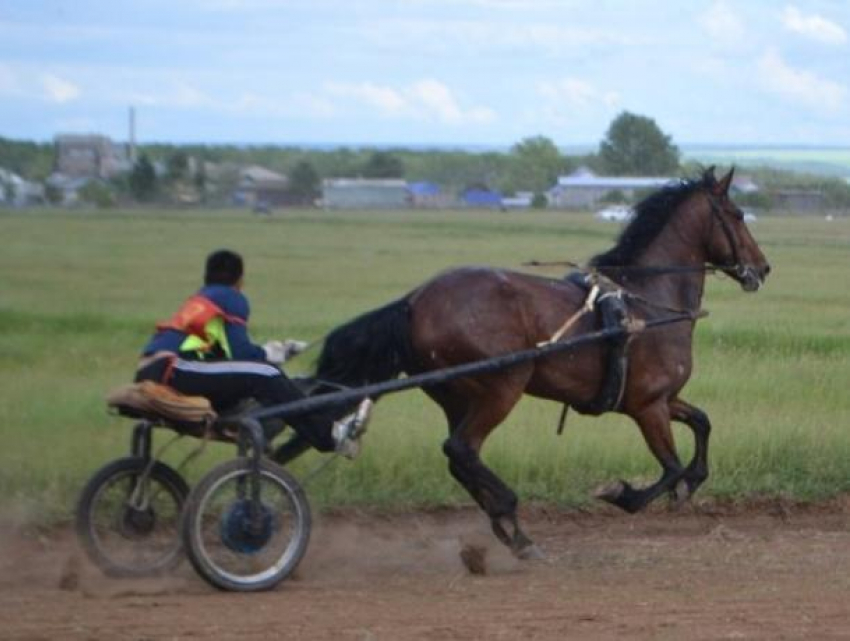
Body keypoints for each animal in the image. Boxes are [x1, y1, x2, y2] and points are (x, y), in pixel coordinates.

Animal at [310, 168, 768, 556]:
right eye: (738, 214)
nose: (762, 268)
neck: (646, 303)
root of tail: (416, 300)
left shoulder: (664, 399)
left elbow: (703, 423)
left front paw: (692, 482)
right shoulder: (647, 406)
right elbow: (670, 467)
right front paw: (622, 494)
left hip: (457, 396)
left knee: (460, 458)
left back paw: (508, 526)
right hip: (501, 387)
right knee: (461, 448)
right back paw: (511, 518)